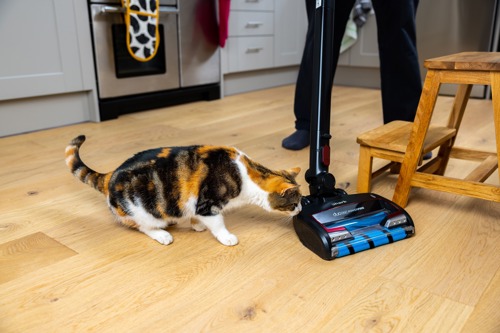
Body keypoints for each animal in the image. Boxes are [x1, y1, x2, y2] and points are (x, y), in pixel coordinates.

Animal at [65, 135, 302, 246]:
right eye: (294, 203)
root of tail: (110, 175)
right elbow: (218, 222)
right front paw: (226, 237)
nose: (300, 210)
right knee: (143, 227)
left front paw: (197, 225)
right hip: (142, 211)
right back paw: (162, 234)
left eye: (302, 201)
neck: (246, 173)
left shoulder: (195, 203)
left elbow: (196, 215)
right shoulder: (208, 203)